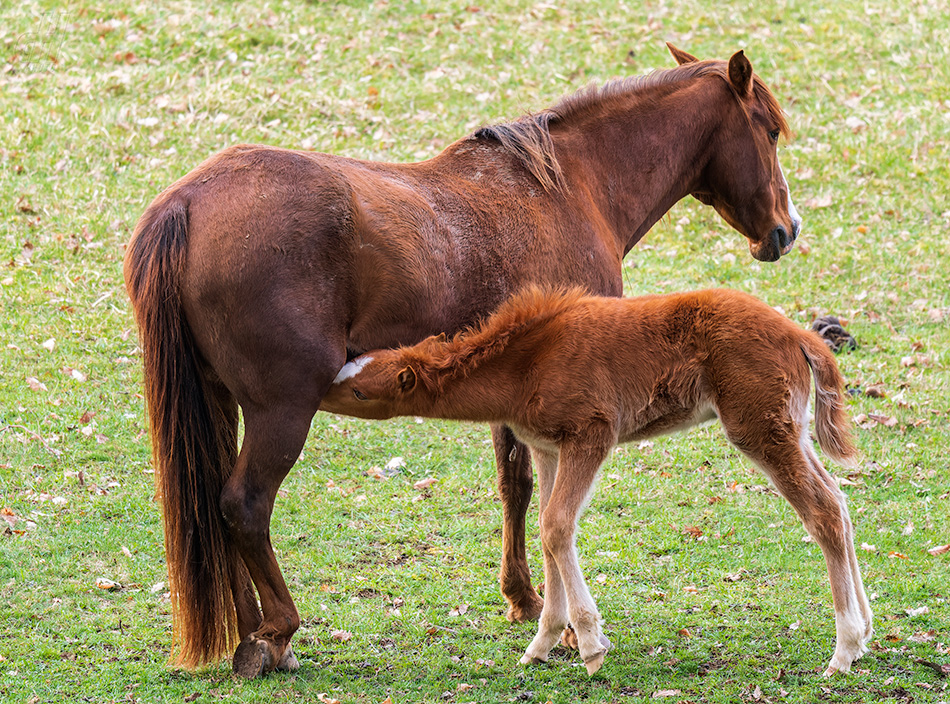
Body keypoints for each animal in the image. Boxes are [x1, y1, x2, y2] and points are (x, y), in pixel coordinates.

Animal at [121, 44, 804, 676]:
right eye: (769, 130)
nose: (786, 229)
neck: (567, 188)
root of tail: (187, 203)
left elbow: (514, 486)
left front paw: (524, 600)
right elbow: (534, 493)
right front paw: (551, 617)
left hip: (220, 402)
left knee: (215, 508)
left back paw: (247, 634)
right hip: (280, 411)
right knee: (244, 505)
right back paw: (277, 634)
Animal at [324, 288, 872, 676]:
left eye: (359, 391)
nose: (318, 389)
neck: (528, 363)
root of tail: (800, 335)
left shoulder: (591, 432)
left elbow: (557, 525)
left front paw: (590, 643)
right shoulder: (548, 448)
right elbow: (546, 530)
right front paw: (543, 642)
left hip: (759, 428)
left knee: (823, 512)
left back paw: (843, 649)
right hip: (789, 428)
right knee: (840, 503)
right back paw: (866, 632)